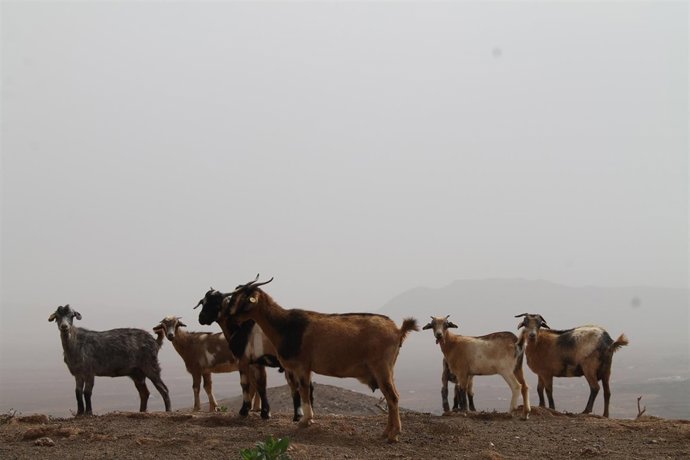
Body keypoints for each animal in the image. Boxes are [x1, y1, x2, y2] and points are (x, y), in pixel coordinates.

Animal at [195, 289, 312, 421]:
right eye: (203, 302)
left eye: (216, 302)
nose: (201, 318)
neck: (241, 327)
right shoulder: (257, 363)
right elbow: (261, 385)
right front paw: (265, 413)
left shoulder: (242, 360)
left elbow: (245, 384)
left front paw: (244, 410)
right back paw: (300, 415)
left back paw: (299, 415)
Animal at [222, 275, 419, 443]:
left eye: (242, 298)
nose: (229, 316)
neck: (284, 325)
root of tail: (398, 330)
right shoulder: (305, 368)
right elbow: (305, 390)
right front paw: (308, 419)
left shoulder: (301, 365)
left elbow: (304, 390)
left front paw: (305, 421)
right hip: (386, 370)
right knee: (390, 397)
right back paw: (385, 432)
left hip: (381, 368)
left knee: (393, 397)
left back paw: (393, 435)